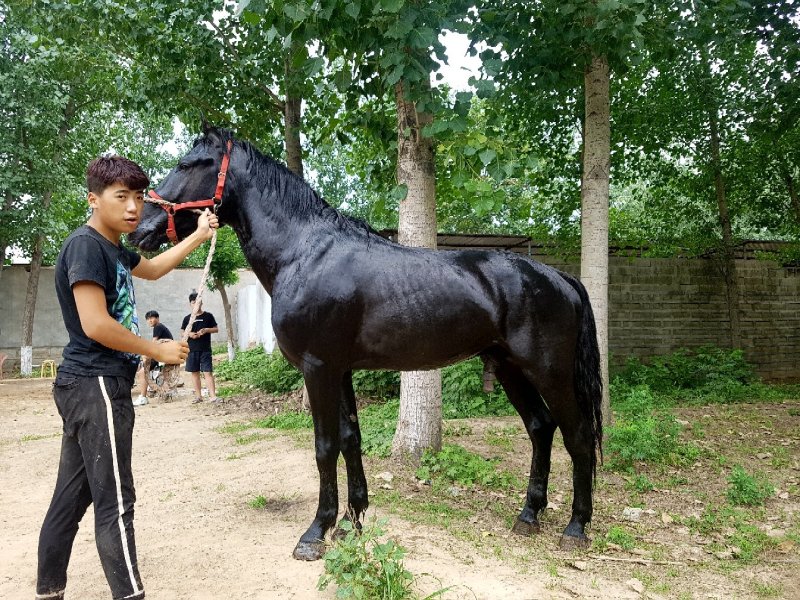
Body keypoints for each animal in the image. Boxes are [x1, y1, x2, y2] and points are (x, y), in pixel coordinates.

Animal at [129, 126, 603, 561]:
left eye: (187, 164)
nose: (141, 228)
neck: (305, 253)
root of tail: (559, 277)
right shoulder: (339, 370)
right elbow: (349, 439)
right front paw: (351, 522)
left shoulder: (319, 368)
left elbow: (324, 447)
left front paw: (316, 533)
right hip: (509, 368)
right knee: (540, 428)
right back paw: (529, 515)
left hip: (549, 370)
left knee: (577, 434)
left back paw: (575, 527)